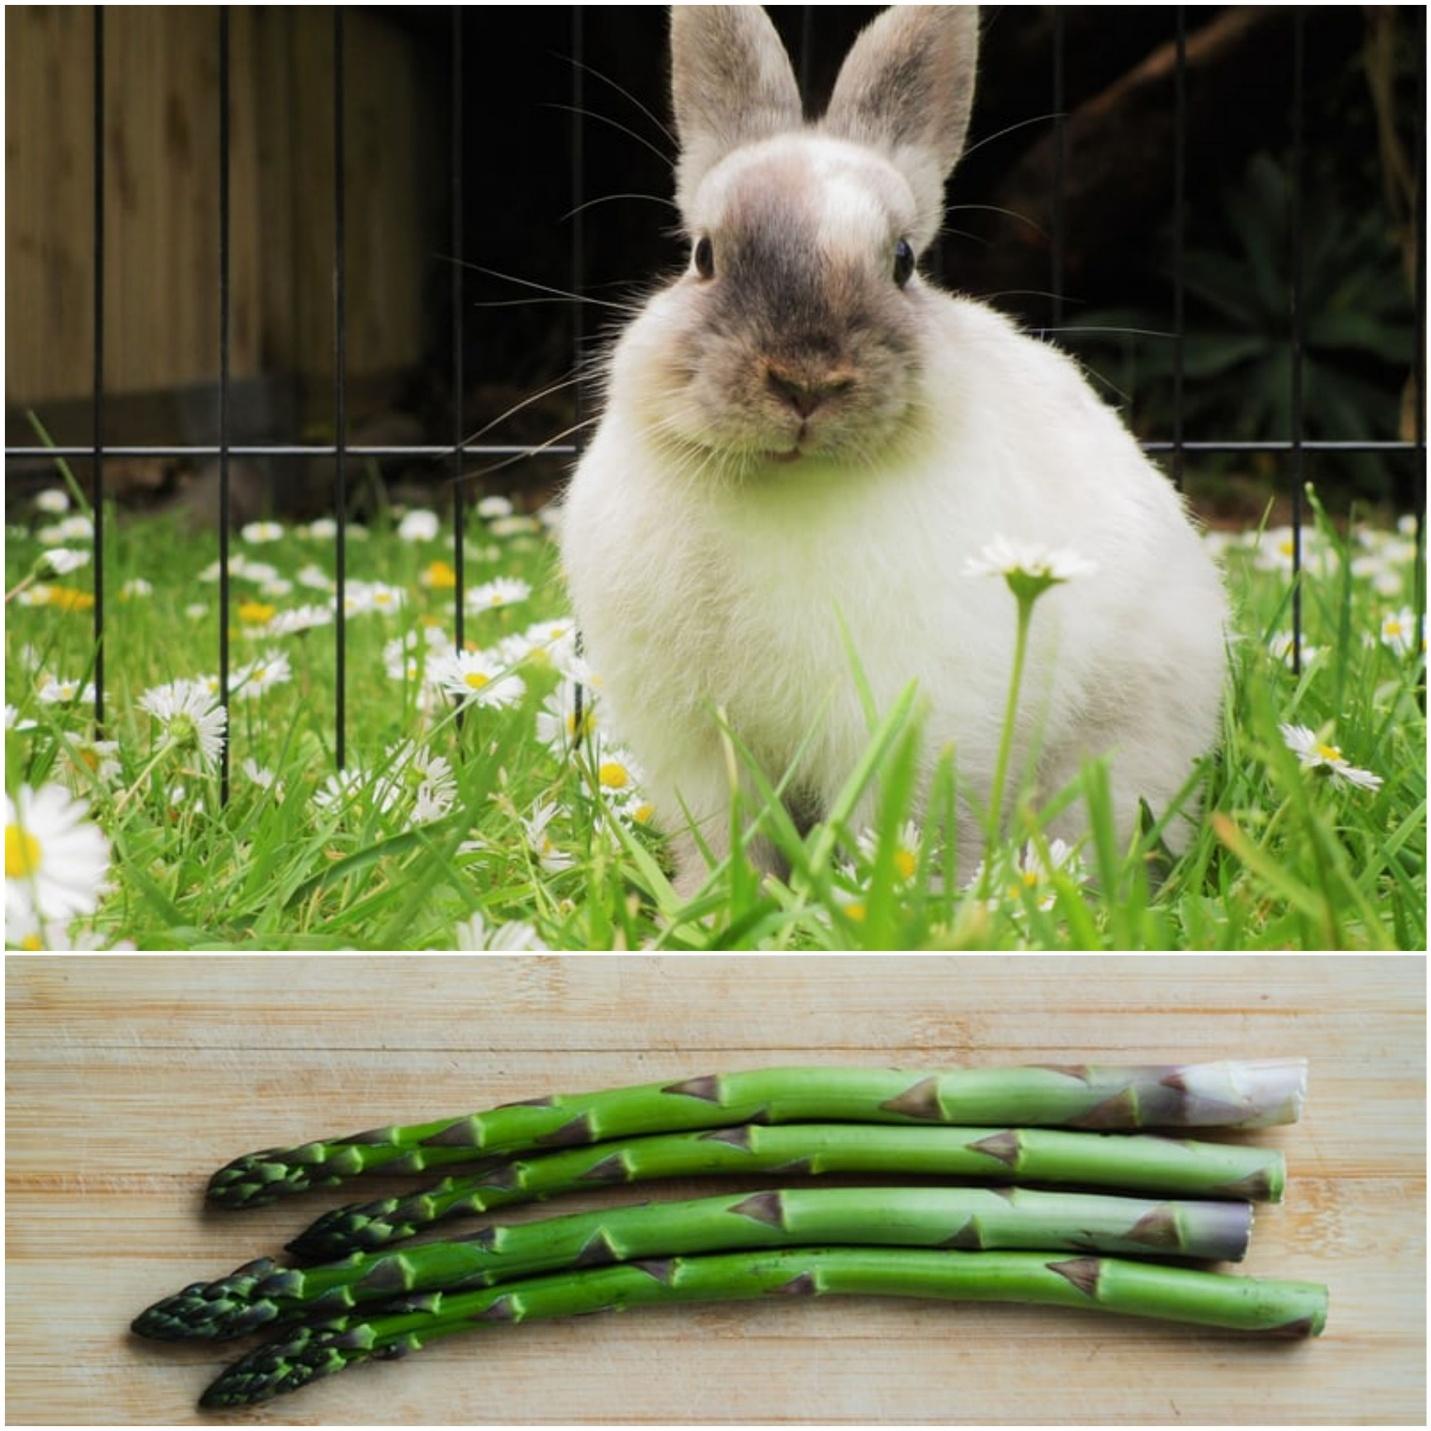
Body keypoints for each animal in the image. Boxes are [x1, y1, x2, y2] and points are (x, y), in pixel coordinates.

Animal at [558, 5, 1227, 897]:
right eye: (703, 256)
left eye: (903, 262)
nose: (805, 380)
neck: (790, 481)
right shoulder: (696, 742)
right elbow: (724, 836)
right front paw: (711, 905)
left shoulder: (910, 721)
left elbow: (902, 826)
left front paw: (894, 900)